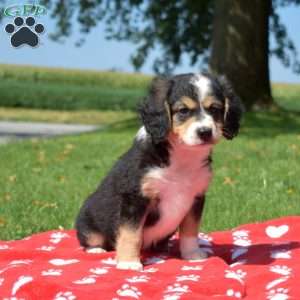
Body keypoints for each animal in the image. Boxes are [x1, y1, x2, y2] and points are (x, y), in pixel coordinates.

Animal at [75, 71, 244, 270]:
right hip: (88, 221)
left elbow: (190, 231)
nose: (205, 132)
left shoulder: (196, 197)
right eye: (183, 110)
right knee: (90, 239)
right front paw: (128, 263)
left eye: (215, 109)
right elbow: (131, 234)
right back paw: (97, 250)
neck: (182, 156)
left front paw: (192, 255)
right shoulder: (135, 199)